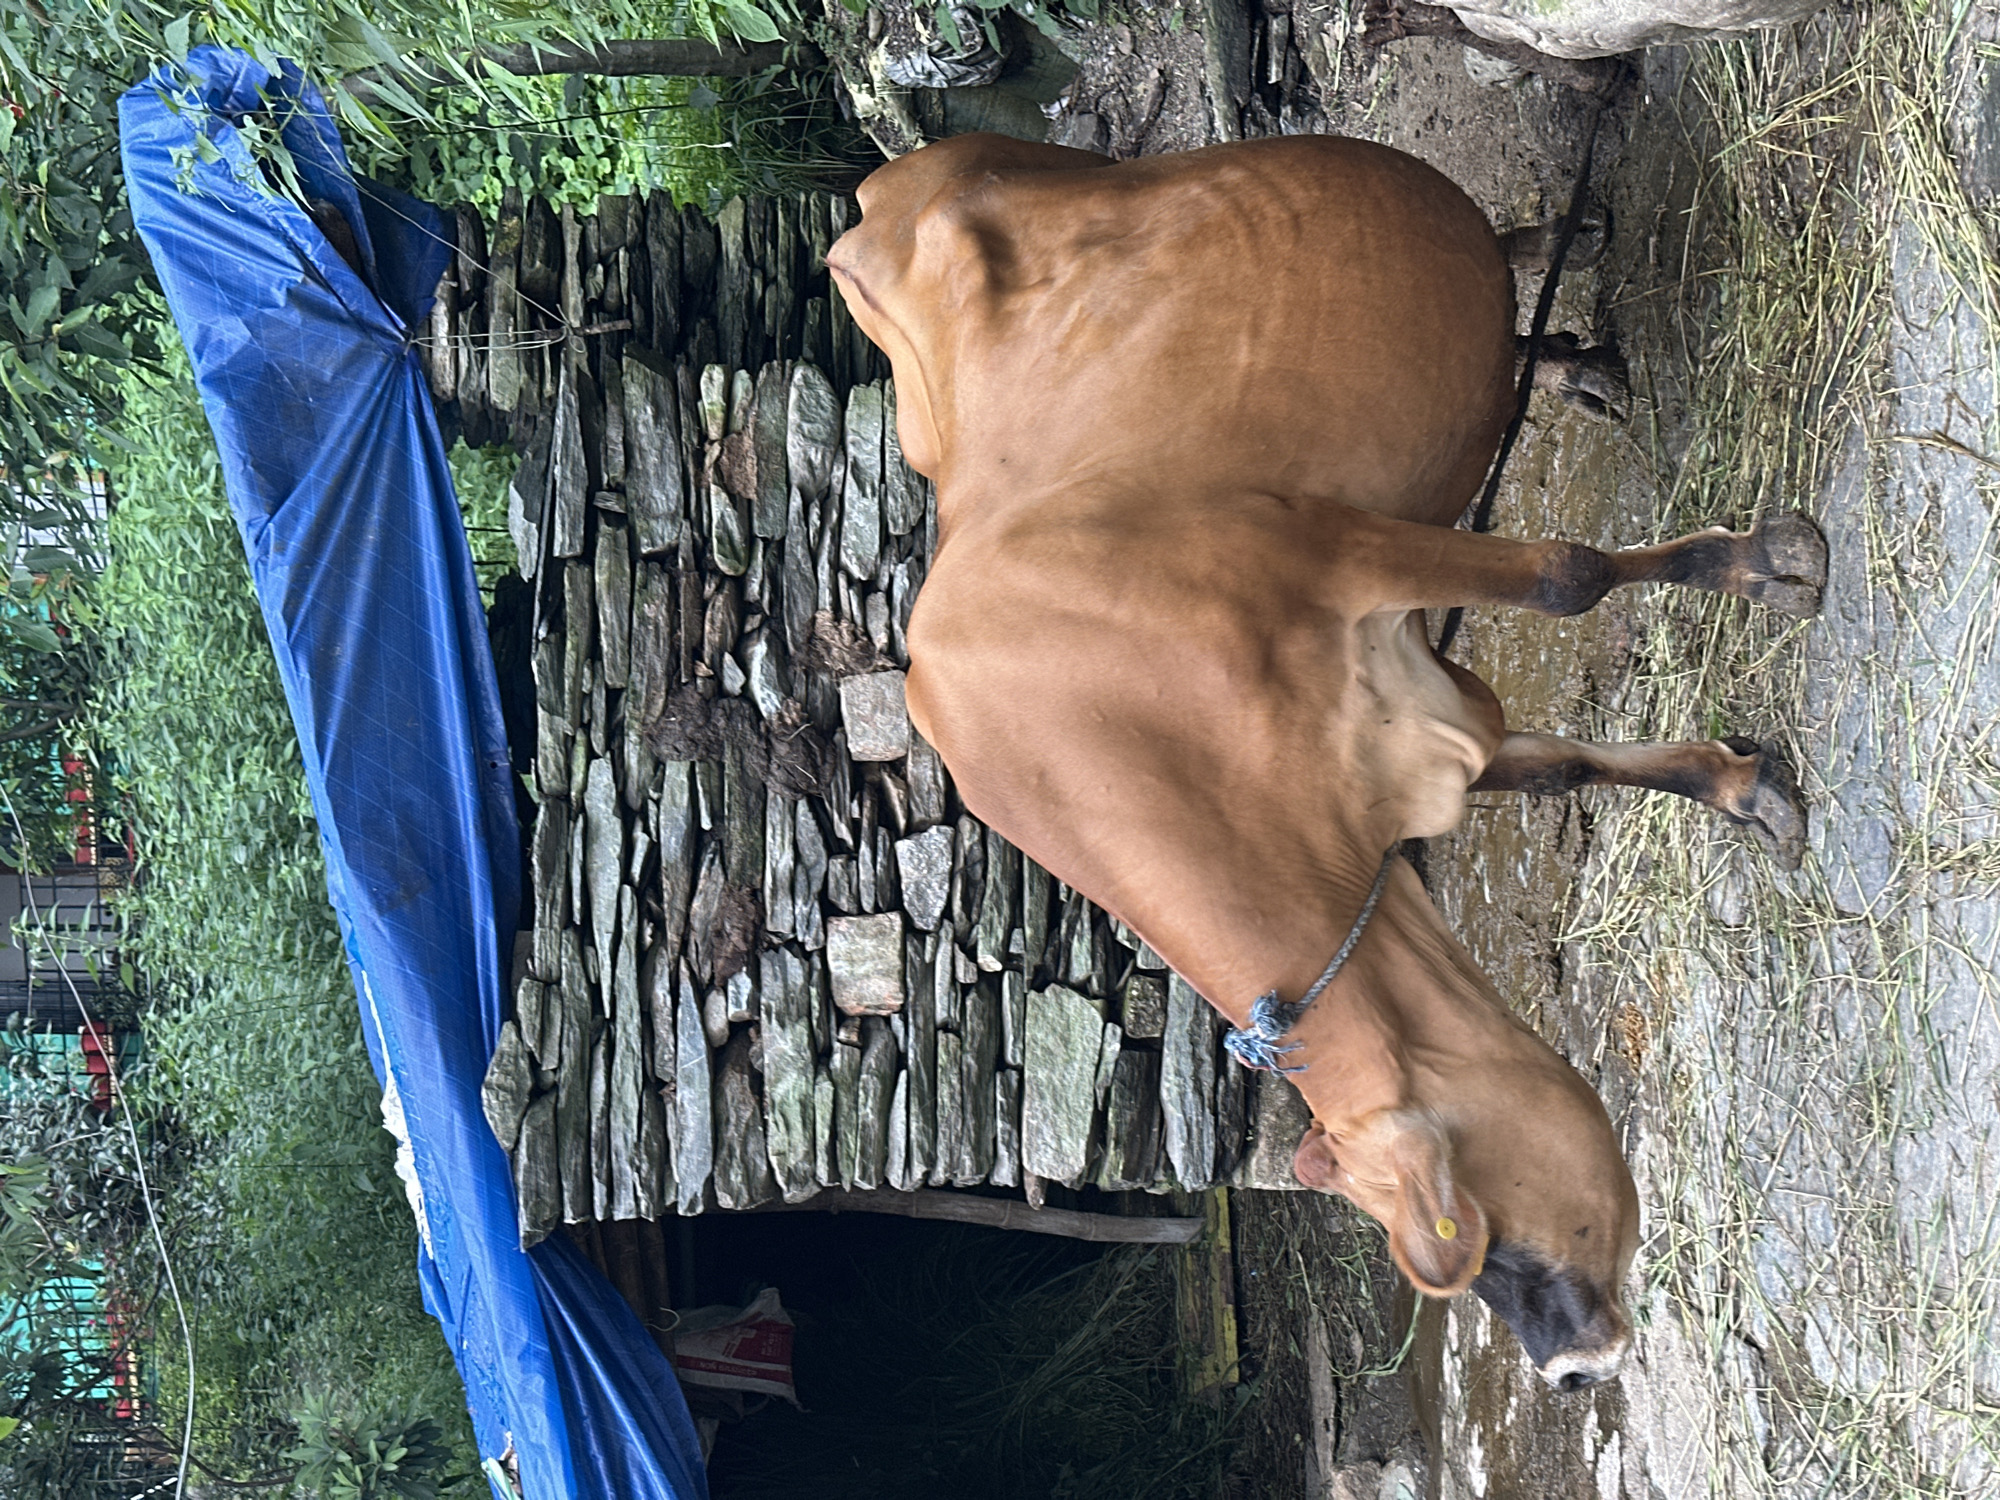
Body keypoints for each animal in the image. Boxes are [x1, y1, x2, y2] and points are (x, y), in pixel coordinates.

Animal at [826, 133, 1823, 1392]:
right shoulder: (1422, 725)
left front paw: (1764, 566)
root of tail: (883, 189)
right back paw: (1563, 337)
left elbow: (1569, 577)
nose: (1567, 1370)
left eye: (1468, 1232)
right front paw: (1740, 787)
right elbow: (1561, 768)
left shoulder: (1340, 548)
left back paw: (1566, 297)